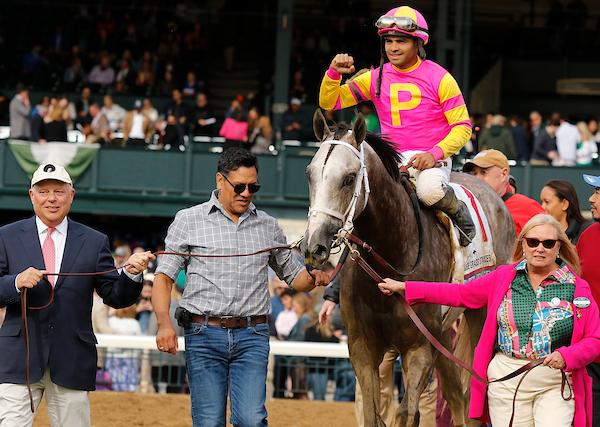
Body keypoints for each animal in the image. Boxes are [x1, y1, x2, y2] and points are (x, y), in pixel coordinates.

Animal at [304, 111, 516, 427]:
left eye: (349, 178)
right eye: (310, 174)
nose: (313, 246)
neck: (391, 255)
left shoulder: (419, 347)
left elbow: (406, 413)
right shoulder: (362, 346)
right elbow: (374, 414)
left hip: (478, 316)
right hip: (442, 331)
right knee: (456, 394)